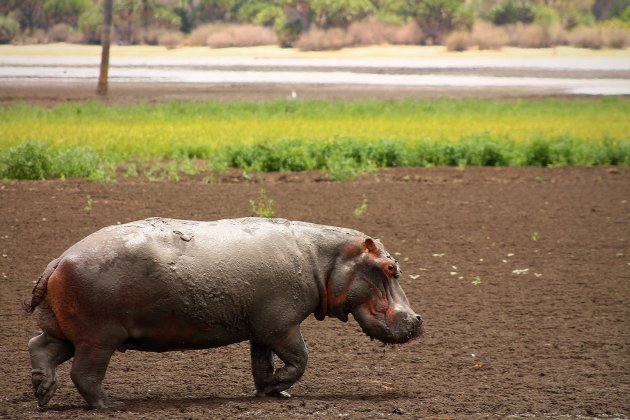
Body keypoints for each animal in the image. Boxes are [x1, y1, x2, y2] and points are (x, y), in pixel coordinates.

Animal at [29, 218, 424, 408]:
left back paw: (43, 393)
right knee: (85, 374)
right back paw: (112, 405)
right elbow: (300, 359)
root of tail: (57, 260)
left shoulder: (262, 331)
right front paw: (279, 386)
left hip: (71, 333)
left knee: (40, 347)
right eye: (390, 268)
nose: (419, 319)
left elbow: (261, 364)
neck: (325, 259)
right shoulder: (282, 326)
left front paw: (271, 393)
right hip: (99, 338)